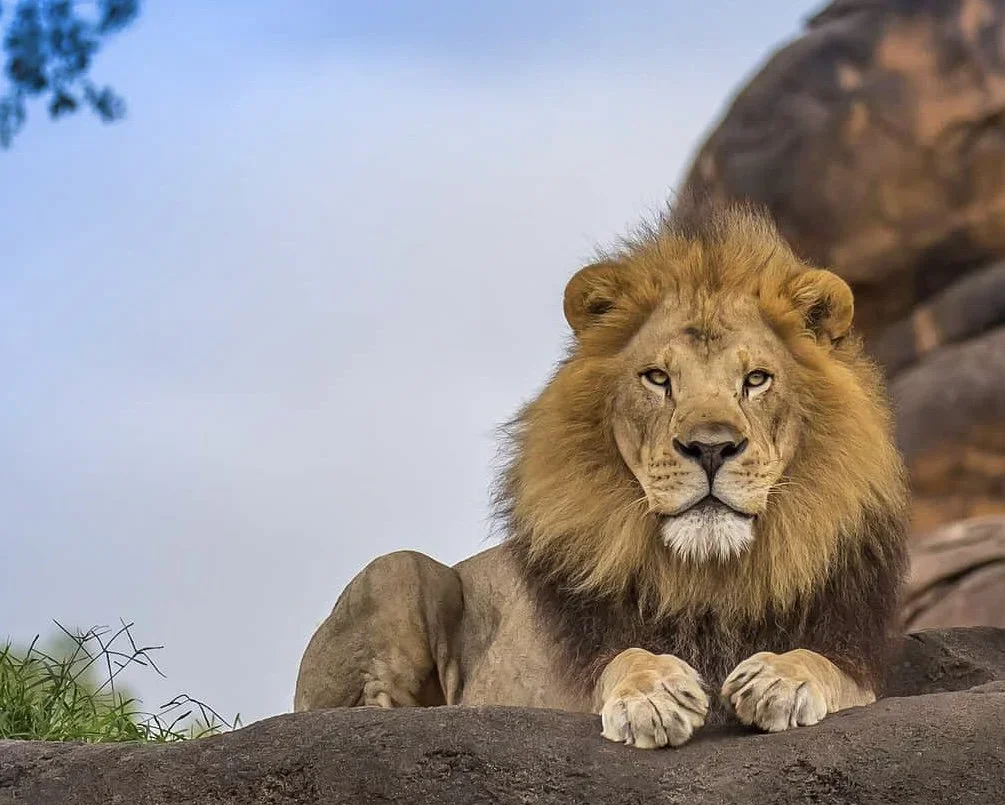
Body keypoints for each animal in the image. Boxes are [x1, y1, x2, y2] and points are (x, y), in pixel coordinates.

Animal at [294, 198, 909, 749]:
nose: (711, 448)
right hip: (397, 571)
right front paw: (654, 695)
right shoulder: (562, 680)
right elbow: (625, 657)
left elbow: (824, 664)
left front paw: (780, 678)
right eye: (657, 378)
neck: (709, 577)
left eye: (757, 379)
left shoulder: (855, 658)